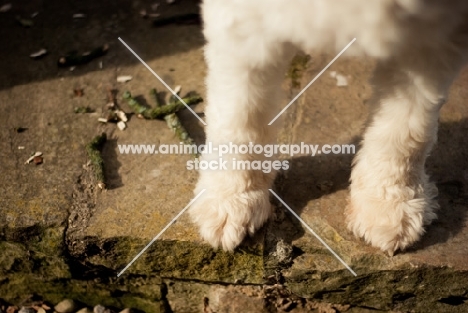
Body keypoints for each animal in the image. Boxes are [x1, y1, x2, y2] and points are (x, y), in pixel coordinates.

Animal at [188, 0, 468, 256]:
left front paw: (390, 202)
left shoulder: (433, 37)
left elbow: (406, 126)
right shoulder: (242, 20)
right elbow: (239, 114)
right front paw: (230, 197)